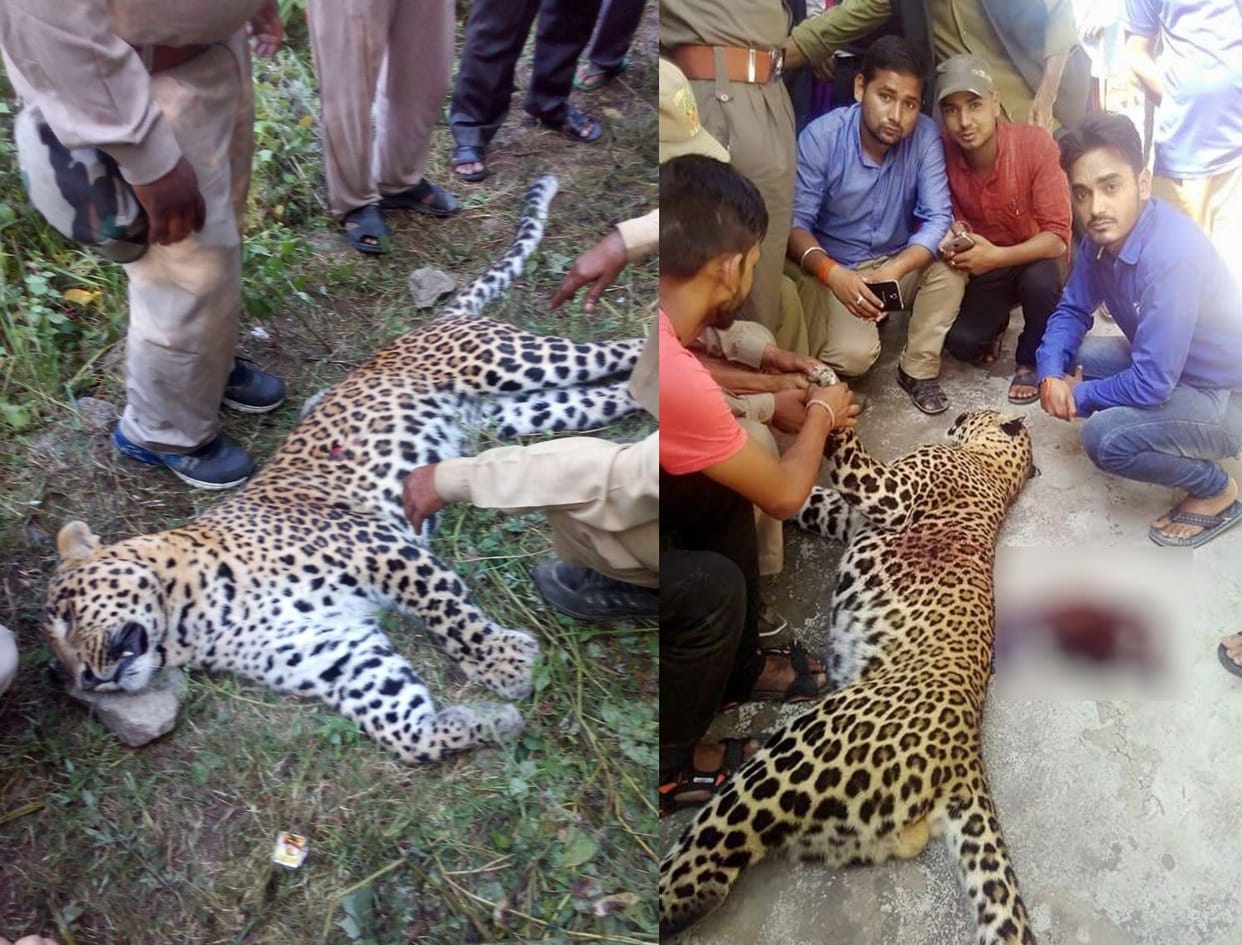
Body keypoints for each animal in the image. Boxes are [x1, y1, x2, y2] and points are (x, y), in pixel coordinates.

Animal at [43, 175, 646, 764]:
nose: (89, 681)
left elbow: (448, 612)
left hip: (508, 361)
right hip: (522, 413)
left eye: (69, 615)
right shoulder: (333, 650)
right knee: (604, 396)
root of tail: (428, 326)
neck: (191, 619)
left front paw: (503, 663)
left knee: (619, 349)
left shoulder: (380, 548)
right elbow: (404, 728)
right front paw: (484, 721)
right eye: (62, 659)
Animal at [660, 409, 1038, 944]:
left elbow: (847, 461)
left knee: (714, 854)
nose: (959, 415)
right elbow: (803, 495)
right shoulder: (844, 513)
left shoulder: (890, 493)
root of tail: (966, 757)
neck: (993, 467)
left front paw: (827, 399)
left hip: (800, 753)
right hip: (852, 823)